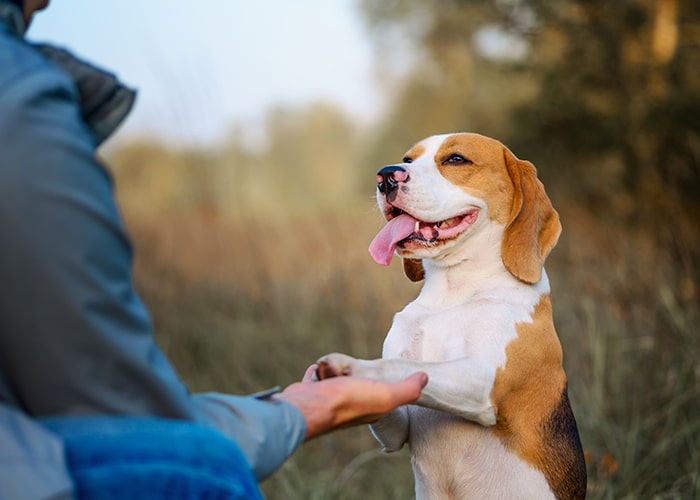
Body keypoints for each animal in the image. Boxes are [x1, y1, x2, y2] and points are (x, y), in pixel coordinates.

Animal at [316, 134, 584, 500]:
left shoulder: (482, 381)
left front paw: (352, 367)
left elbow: (402, 366)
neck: (453, 291)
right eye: (408, 159)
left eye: (456, 159)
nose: (385, 176)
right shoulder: (398, 429)